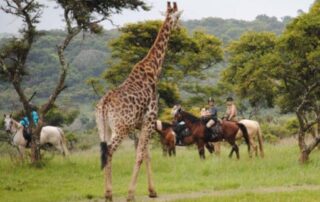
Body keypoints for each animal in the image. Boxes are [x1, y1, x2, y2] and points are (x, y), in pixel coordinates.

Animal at [95, 1, 181, 202]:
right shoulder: (149, 120)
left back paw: (107, 192)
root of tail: (104, 104)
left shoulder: (141, 124)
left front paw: (152, 191)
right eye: (178, 17)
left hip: (104, 127)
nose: (180, 28)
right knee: (109, 151)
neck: (153, 69)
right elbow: (141, 155)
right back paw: (109, 193)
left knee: (103, 152)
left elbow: (147, 155)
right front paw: (131, 194)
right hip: (121, 128)